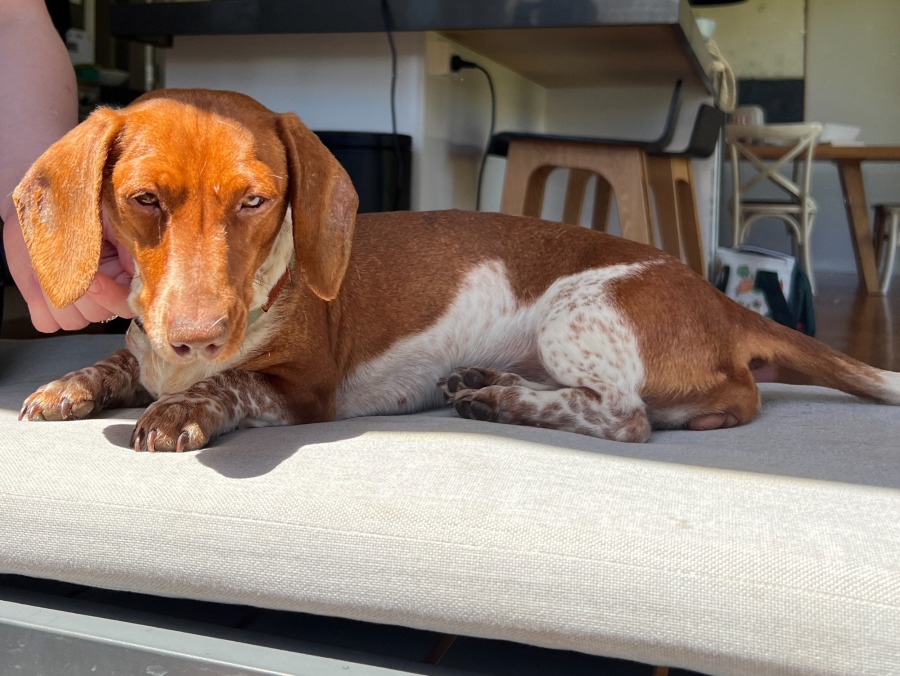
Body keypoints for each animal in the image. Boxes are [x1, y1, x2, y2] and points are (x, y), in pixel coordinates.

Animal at [13, 89, 900, 451]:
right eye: (143, 200)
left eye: (256, 202)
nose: (195, 336)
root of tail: (720, 302)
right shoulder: (143, 344)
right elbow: (115, 360)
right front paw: (67, 386)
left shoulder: (303, 389)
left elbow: (226, 385)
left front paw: (182, 408)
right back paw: (483, 383)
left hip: (579, 312)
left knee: (624, 417)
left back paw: (500, 400)